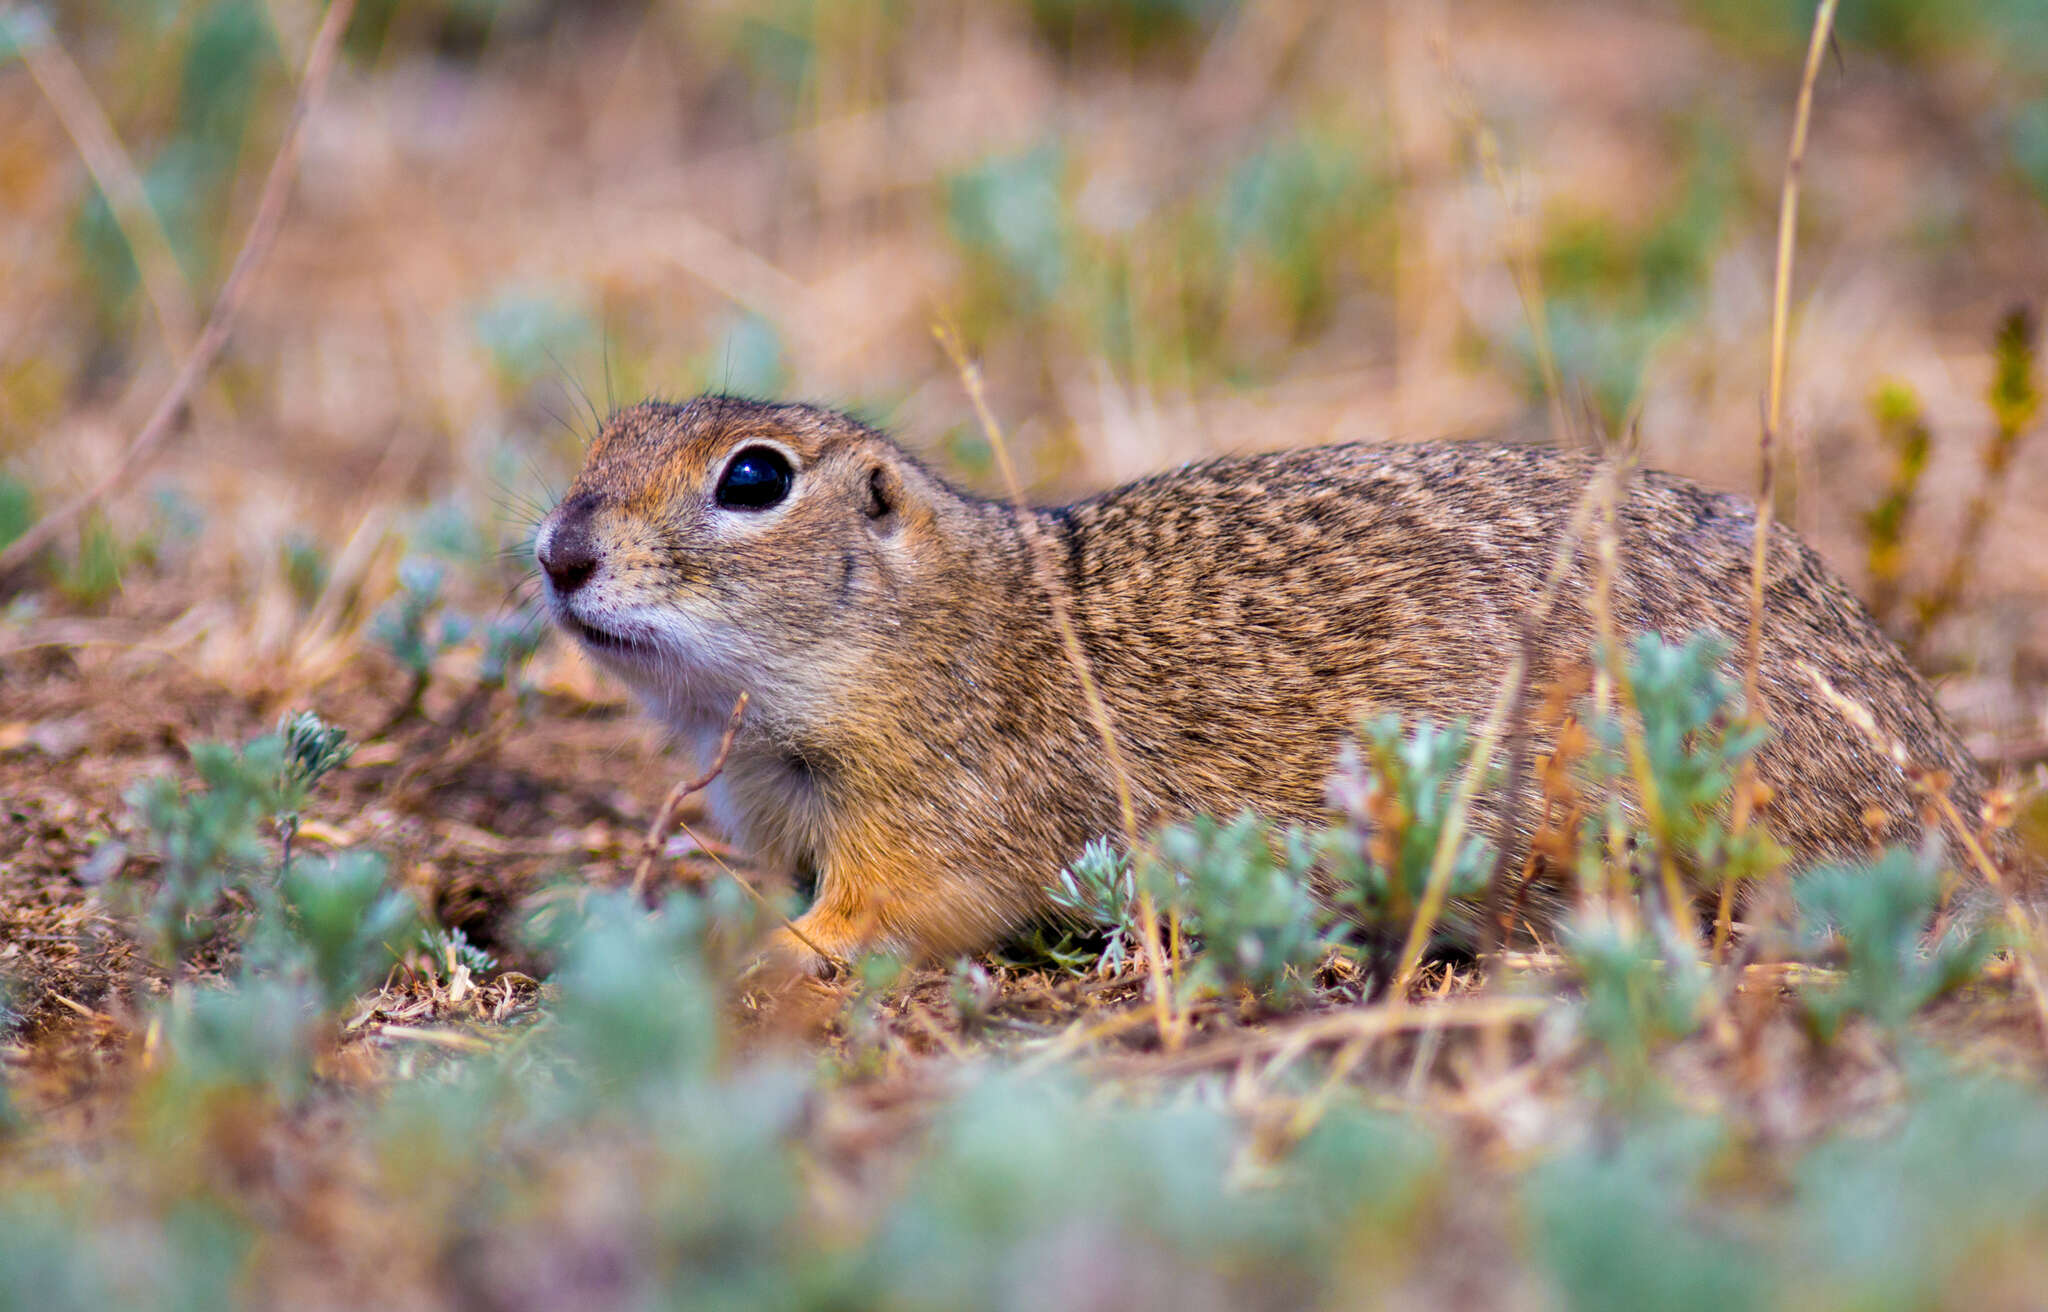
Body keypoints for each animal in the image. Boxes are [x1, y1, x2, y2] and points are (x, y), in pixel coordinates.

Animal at [536, 392, 1990, 966]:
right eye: (603, 438)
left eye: (754, 479)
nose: (556, 553)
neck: (925, 627)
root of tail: (1952, 802)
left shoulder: (937, 812)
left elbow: (882, 914)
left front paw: (753, 959)